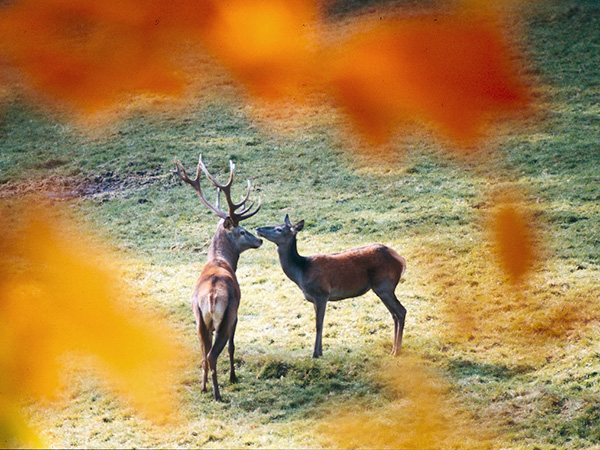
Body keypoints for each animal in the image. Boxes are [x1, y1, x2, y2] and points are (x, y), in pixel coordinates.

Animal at [171, 156, 260, 400]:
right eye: (242, 231)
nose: (259, 239)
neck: (221, 261)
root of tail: (211, 297)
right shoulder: (236, 313)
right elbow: (232, 346)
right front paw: (233, 377)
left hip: (199, 319)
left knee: (203, 354)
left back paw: (203, 388)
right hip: (226, 316)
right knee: (213, 354)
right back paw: (218, 394)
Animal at [255, 215, 406, 358]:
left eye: (279, 229)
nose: (258, 228)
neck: (301, 272)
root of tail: (401, 260)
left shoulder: (322, 293)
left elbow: (318, 324)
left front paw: (315, 354)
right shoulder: (314, 299)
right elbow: (320, 323)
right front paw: (320, 352)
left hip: (384, 286)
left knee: (401, 311)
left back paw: (396, 351)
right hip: (383, 288)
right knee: (394, 314)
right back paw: (394, 348)